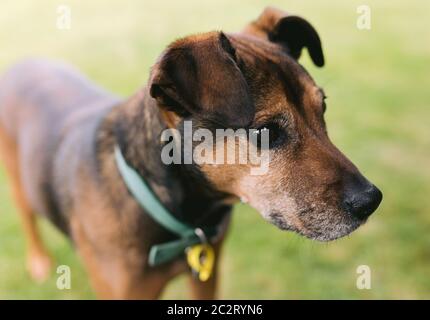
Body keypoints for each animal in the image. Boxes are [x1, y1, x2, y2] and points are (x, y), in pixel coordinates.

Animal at [0, 6, 382, 298]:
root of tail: (22, 63)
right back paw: (39, 262)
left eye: (323, 108)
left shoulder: (206, 275)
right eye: (267, 132)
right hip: (18, 181)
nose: (372, 200)